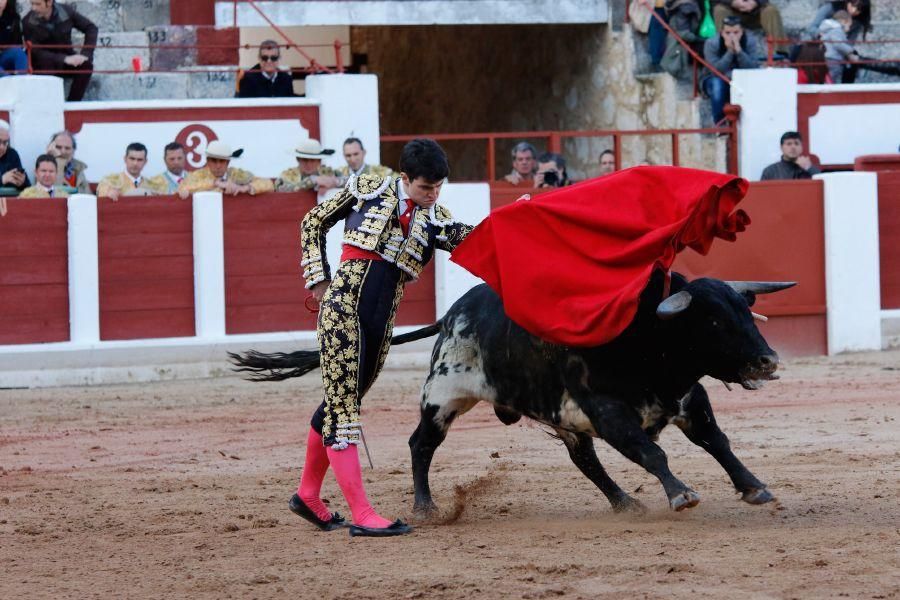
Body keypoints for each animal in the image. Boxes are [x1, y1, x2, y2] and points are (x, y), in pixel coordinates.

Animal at [232, 274, 796, 512]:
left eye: (746, 311)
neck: (647, 341)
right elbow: (652, 452)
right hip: (442, 396)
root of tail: (454, 310)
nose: (768, 361)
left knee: (585, 462)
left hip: (561, 418)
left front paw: (754, 487)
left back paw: (622, 502)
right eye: (714, 320)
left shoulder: (688, 400)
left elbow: (718, 444)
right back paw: (425, 507)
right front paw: (681, 494)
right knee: (421, 446)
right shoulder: (610, 412)